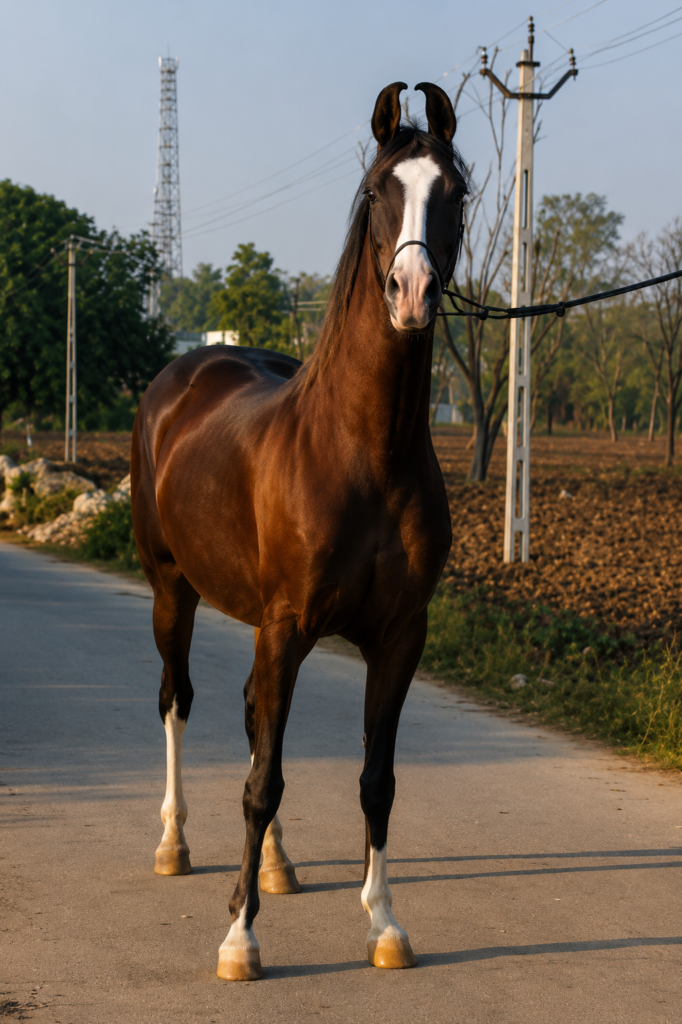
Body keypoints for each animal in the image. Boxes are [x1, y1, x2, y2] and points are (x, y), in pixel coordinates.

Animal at [131, 80, 468, 981]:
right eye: (377, 191)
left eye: (455, 191)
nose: (412, 292)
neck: (364, 451)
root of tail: (183, 375)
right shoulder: (285, 626)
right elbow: (261, 782)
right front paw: (239, 939)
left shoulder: (398, 635)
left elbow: (374, 781)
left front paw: (384, 924)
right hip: (171, 590)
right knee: (177, 701)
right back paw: (174, 845)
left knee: (254, 719)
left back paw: (276, 866)